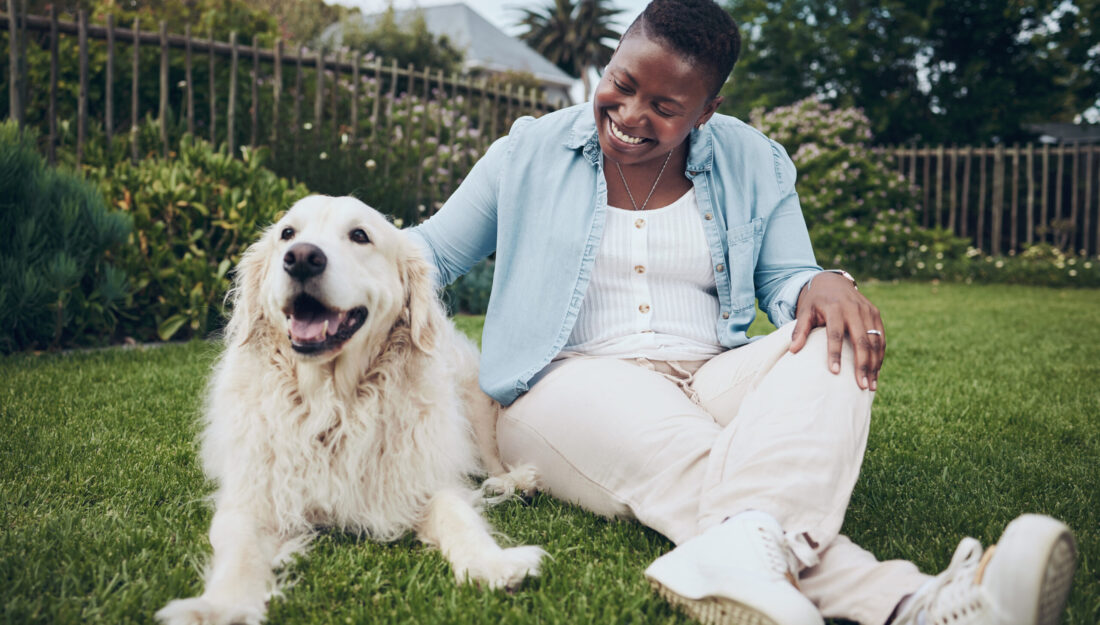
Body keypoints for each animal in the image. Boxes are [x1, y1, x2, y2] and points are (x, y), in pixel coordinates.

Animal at [157, 195, 543, 625]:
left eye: (360, 235)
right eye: (287, 233)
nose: (302, 258)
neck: (331, 403)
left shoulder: (422, 479)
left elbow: (457, 514)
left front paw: (492, 563)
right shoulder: (253, 496)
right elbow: (239, 552)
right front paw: (220, 606)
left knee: (493, 459)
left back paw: (515, 482)